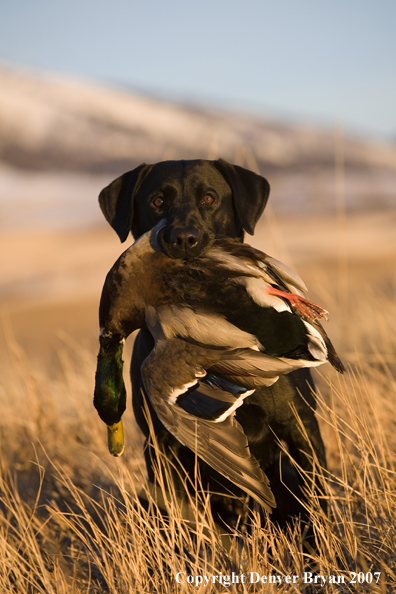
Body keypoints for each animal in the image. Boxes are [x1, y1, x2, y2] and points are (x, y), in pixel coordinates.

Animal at [98, 158, 324, 528]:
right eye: (157, 201)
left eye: (209, 198)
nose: (183, 239)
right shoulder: (160, 446)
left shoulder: (301, 425)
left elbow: (320, 498)